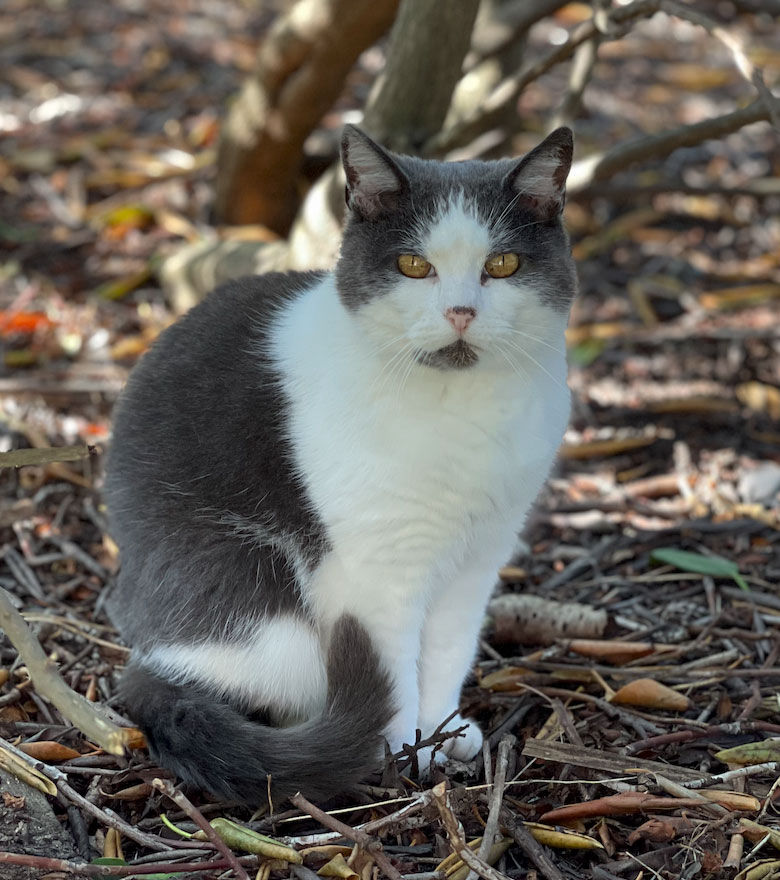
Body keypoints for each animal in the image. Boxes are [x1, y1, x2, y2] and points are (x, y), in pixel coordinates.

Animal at [103, 124, 576, 804]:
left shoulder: (481, 553)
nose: (460, 311)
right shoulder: (376, 569)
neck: (460, 409)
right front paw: (401, 753)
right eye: (413, 265)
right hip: (262, 612)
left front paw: (444, 731)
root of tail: (140, 651)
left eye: (503, 264)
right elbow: (395, 670)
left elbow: (447, 650)